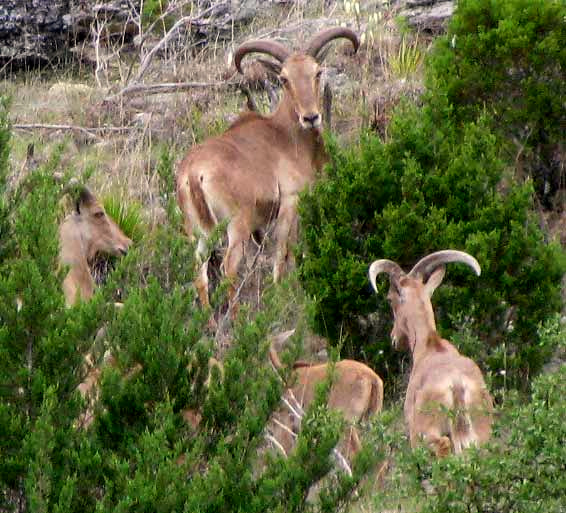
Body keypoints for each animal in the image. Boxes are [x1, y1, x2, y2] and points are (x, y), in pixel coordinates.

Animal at [179, 29, 360, 316]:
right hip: (237, 224)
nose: (311, 117)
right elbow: (283, 247)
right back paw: (238, 316)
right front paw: (280, 289)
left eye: (317, 72)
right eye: (284, 79)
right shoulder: (290, 201)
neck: (287, 135)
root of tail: (194, 174)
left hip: (199, 231)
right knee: (229, 267)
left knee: (200, 272)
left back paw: (208, 318)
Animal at [368, 250, 492, 454]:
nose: (395, 338)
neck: (429, 346)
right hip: (482, 431)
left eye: (390, 299)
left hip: (425, 430)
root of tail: (457, 385)